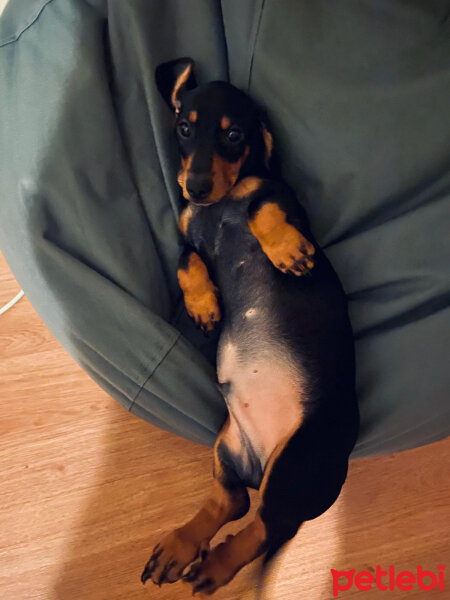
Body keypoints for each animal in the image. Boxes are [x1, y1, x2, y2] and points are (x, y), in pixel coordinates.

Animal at [142, 57, 360, 596]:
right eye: (184, 128)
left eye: (234, 134)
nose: (194, 187)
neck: (221, 201)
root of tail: (259, 462)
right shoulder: (187, 236)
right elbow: (184, 260)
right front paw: (204, 307)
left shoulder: (283, 198)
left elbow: (262, 207)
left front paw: (287, 252)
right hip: (225, 444)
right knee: (234, 501)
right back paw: (182, 545)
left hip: (296, 460)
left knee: (266, 523)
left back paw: (216, 565)